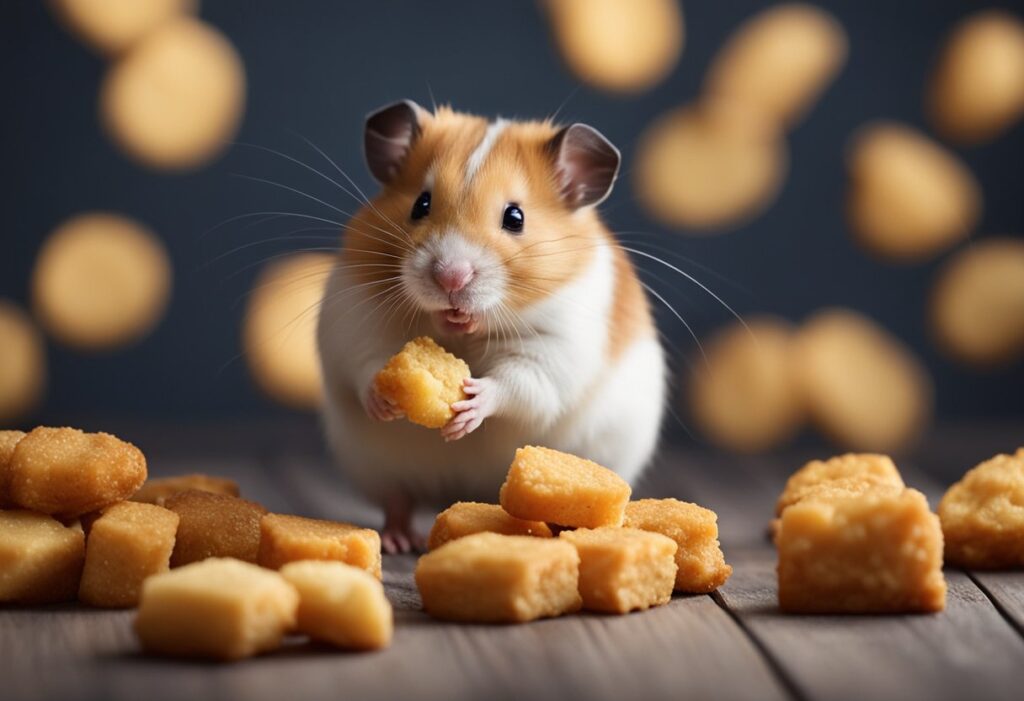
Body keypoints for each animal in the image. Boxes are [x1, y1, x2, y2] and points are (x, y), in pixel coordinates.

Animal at [317, 101, 667, 552]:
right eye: (420, 204)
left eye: (515, 217)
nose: (451, 278)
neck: (462, 333)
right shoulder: (354, 318)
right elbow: (365, 363)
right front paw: (382, 400)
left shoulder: (555, 350)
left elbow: (517, 383)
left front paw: (470, 404)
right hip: (375, 465)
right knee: (398, 499)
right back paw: (398, 541)